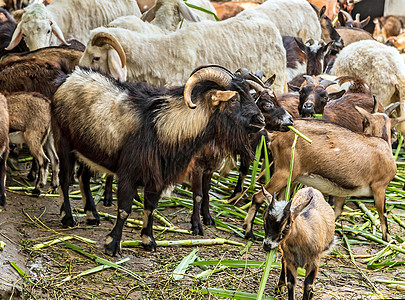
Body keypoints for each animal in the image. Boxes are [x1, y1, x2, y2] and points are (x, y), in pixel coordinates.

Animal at [50, 64, 266, 254]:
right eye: (233, 100)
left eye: (249, 93)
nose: (260, 120)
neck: (164, 127)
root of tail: (68, 78)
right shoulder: (129, 174)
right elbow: (124, 209)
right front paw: (113, 245)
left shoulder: (158, 178)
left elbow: (150, 207)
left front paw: (148, 240)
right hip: (64, 143)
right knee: (65, 179)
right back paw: (68, 218)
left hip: (87, 150)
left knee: (83, 177)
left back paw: (92, 215)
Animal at [243, 109, 404, 243]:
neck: (382, 143)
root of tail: (275, 136)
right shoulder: (380, 186)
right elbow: (383, 214)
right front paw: (389, 240)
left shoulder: (342, 192)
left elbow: (336, 211)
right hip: (284, 171)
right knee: (258, 197)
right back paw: (249, 232)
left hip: (291, 178)